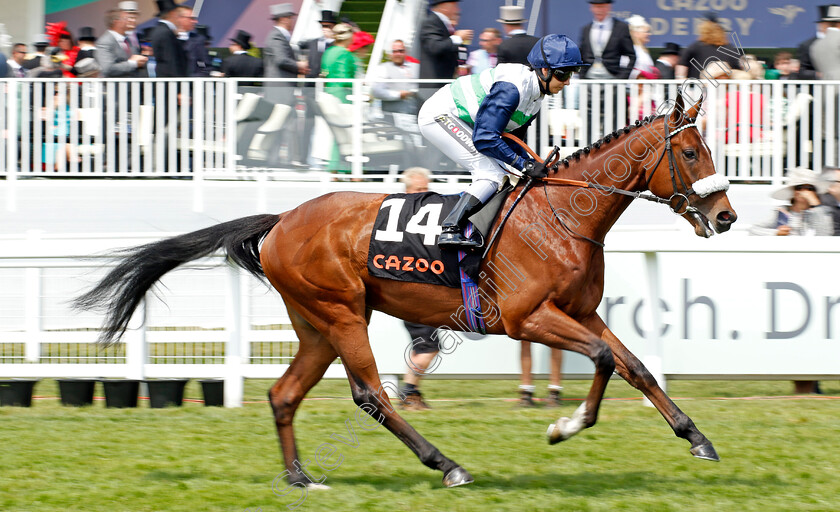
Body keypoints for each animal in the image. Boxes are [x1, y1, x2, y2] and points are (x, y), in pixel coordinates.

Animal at [77, 91, 736, 488]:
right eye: (688, 150)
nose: (726, 216)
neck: (559, 216)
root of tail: (282, 219)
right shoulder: (526, 317)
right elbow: (601, 359)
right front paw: (564, 425)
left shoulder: (580, 312)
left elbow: (634, 366)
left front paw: (697, 438)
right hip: (343, 314)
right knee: (371, 394)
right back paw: (446, 465)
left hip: (316, 324)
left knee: (283, 395)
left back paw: (300, 477)